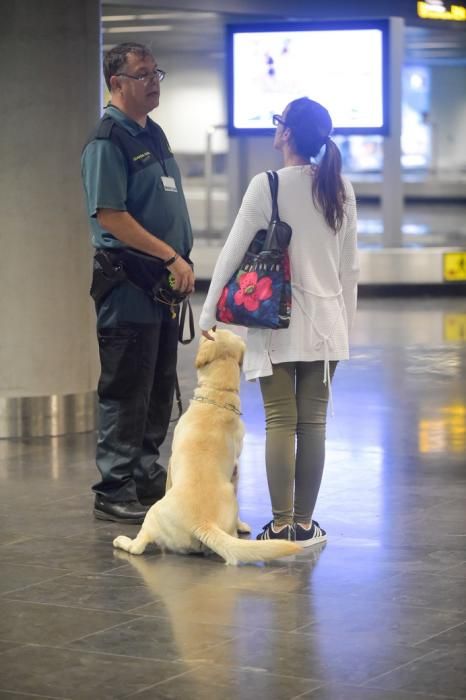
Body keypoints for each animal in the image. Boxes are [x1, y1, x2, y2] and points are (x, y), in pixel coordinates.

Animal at [114, 330, 300, 568]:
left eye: (211, 331)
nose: (207, 328)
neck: (218, 394)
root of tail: (203, 523)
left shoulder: (172, 461)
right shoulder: (236, 468)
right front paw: (242, 524)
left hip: (153, 513)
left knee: (138, 546)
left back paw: (122, 541)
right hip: (229, 496)